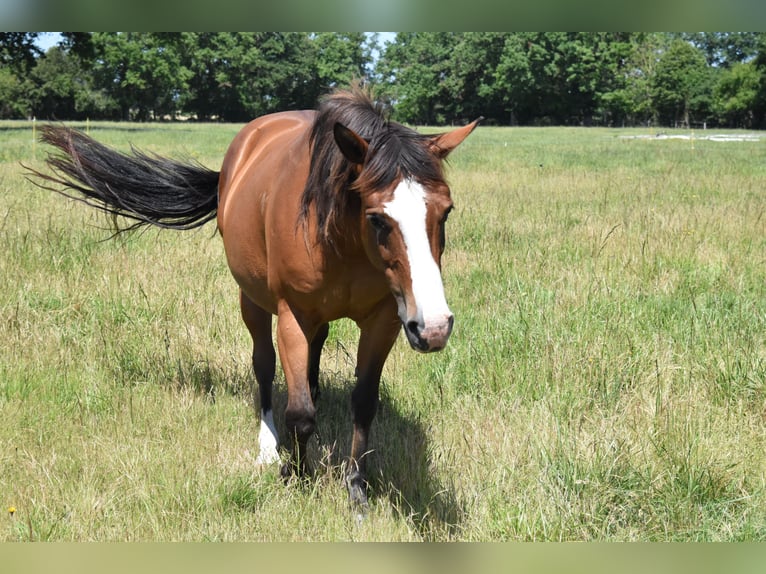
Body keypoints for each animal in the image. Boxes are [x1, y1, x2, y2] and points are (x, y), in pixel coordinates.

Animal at [28, 86, 480, 507]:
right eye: (377, 219)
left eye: (446, 211)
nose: (434, 328)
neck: (339, 235)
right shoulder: (293, 315)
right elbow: (299, 413)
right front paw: (294, 473)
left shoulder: (384, 320)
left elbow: (364, 404)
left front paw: (357, 491)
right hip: (253, 302)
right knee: (263, 367)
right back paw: (268, 444)